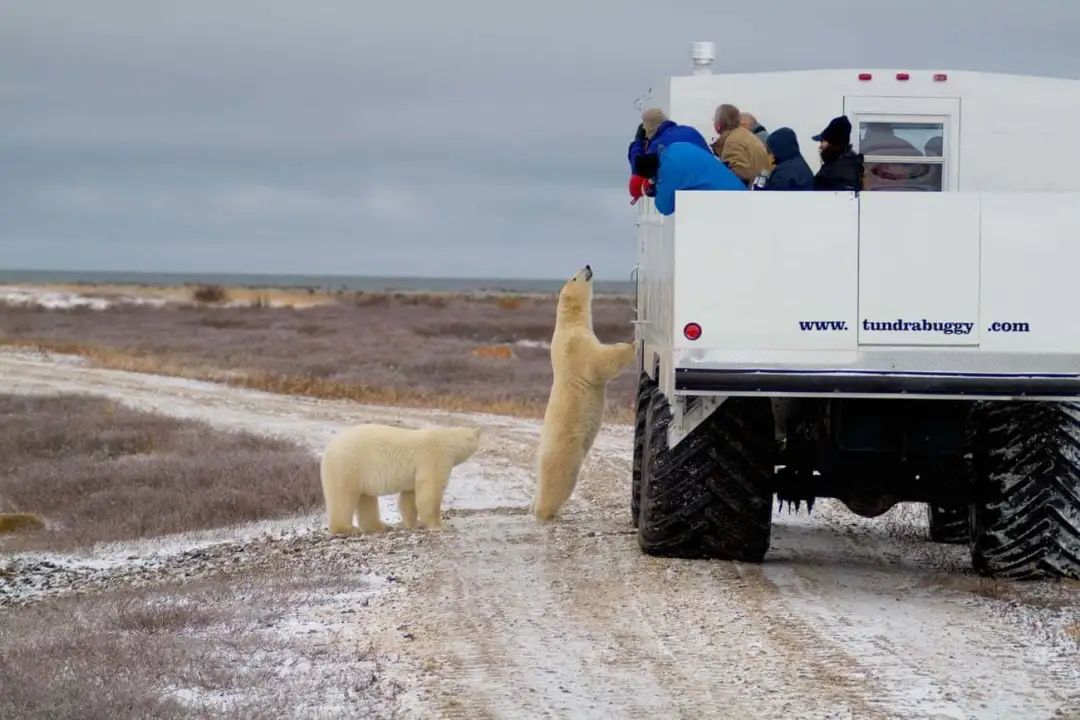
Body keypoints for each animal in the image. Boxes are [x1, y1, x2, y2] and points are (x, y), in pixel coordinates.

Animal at [533, 267, 635, 520]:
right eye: (574, 276)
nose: (588, 266)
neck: (568, 323)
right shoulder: (576, 344)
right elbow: (599, 362)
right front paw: (633, 344)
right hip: (564, 451)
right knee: (559, 480)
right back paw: (545, 511)